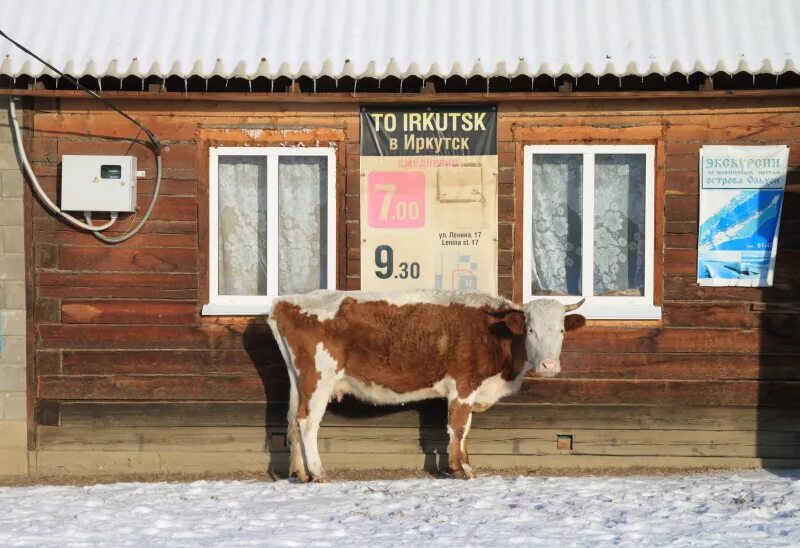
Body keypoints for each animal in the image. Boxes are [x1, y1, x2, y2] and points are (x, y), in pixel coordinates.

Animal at [266, 288, 584, 482]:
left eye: (561, 330)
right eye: (530, 330)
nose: (549, 366)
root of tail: (287, 302)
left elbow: (464, 429)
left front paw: (464, 464)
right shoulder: (463, 385)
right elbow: (458, 427)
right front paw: (460, 469)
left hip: (300, 382)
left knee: (294, 421)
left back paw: (300, 473)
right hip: (318, 379)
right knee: (307, 422)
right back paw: (319, 473)